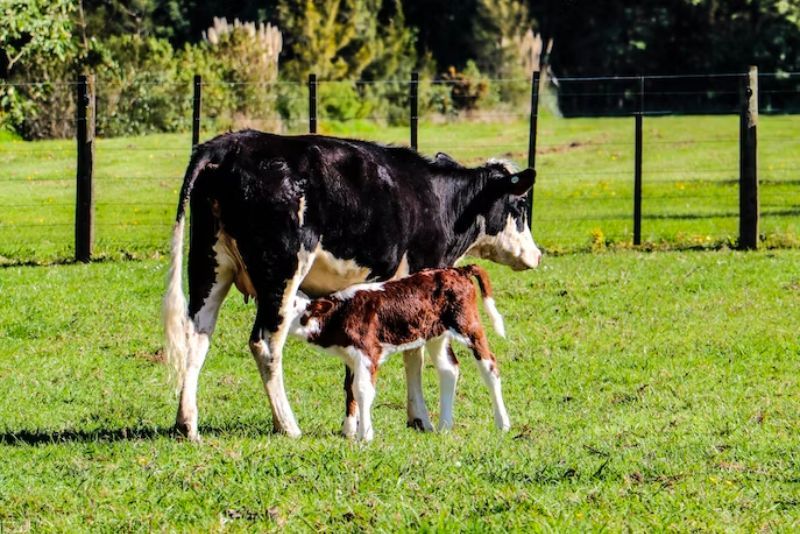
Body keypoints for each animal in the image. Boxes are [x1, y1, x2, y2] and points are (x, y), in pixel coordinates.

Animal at [288, 265, 510, 441]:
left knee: (490, 367)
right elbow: (349, 389)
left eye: (293, 305)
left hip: (468, 325)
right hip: (435, 334)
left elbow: (362, 390)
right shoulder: (351, 357)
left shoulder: (368, 353)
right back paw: (444, 426)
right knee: (449, 369)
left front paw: (365, 436)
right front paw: (349, 431)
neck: (340, 313)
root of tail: (457, 270)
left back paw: (503, 423)